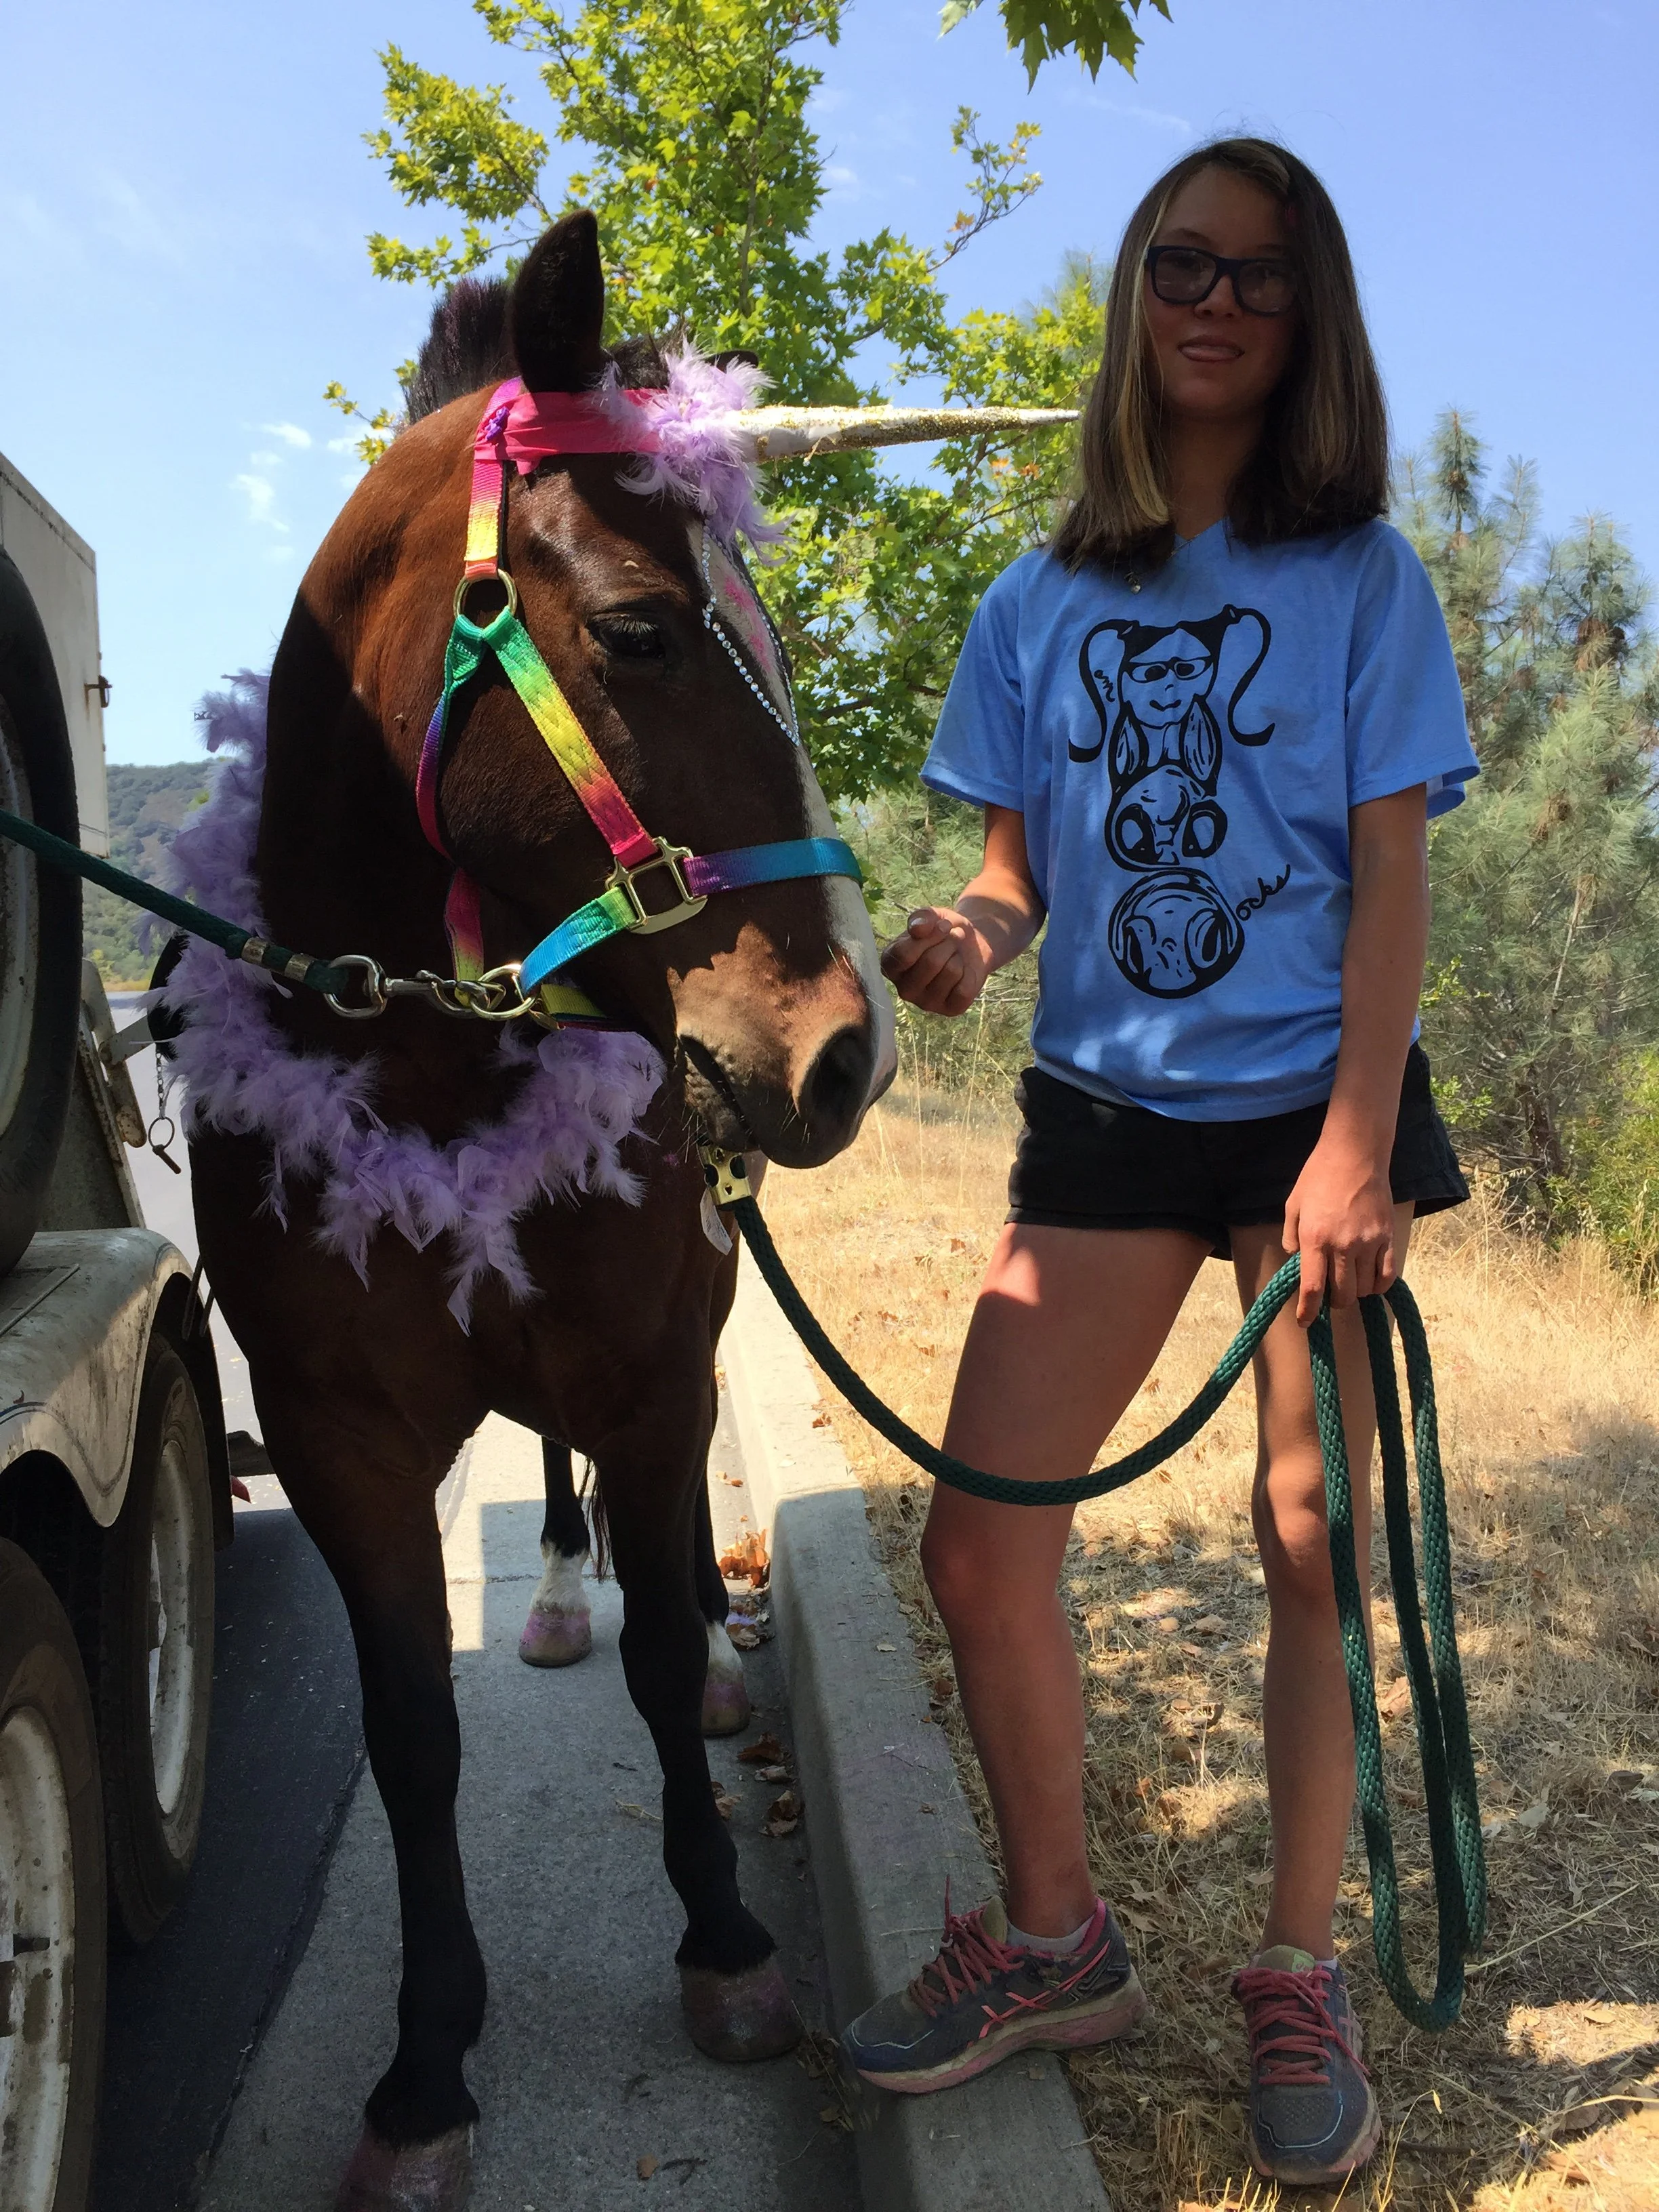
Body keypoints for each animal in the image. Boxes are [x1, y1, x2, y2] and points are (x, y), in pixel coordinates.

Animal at [174, 210, 899, 2210]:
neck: (430, 1050)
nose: (845, 1052)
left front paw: (726, 1939)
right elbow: (411, 1738)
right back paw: (560, 1587)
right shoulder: (336, 1440)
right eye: (644, 631)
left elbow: (663, 1645)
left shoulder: (653, 1371)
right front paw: (425, 2069)